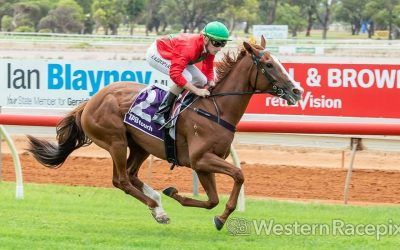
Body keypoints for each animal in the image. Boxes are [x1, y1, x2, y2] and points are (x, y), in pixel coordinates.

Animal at [27, 37, 304, 230]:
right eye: (269, 65)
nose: (297, 90)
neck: (217, 109)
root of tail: (91, 101)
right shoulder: (201, 159)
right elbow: (238, 175)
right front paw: (219, 216)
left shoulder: (203, 164)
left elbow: (212, 200)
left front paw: (202, 208)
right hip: (116, 141)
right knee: (121, 180)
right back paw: (158, 210)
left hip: (139, 145)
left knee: (131, 175)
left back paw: (158, 199)